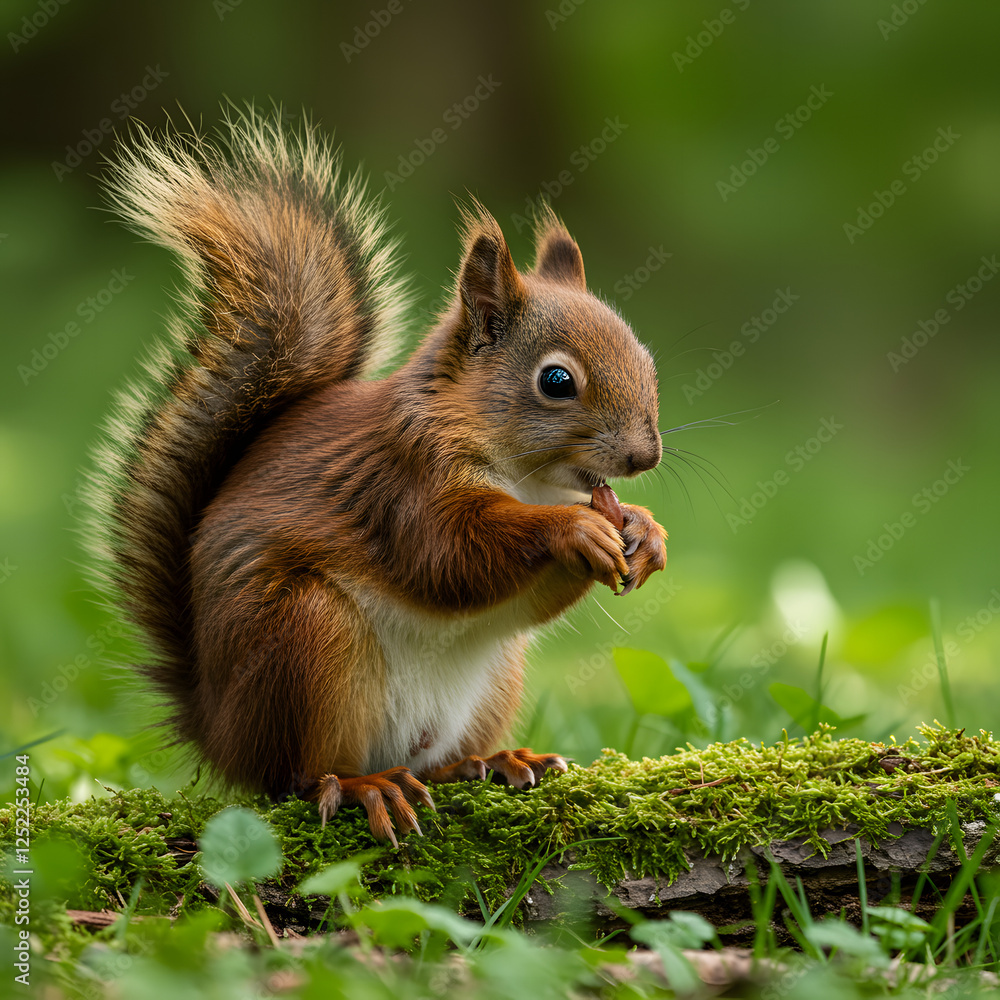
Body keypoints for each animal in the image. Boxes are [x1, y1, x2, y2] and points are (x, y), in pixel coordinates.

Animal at [87, 110, 667, 845]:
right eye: (557, 381)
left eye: (647, 358)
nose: (645, 457)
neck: (527, 479)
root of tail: (216, 730)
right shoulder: (402, 484)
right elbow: (449, 557)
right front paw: (574, 529)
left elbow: (525, 597)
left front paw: (646, 533)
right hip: (306, 641)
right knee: (298, 777)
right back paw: (364, 786)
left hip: (492, 678)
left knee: (436, 760)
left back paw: (493, 761)